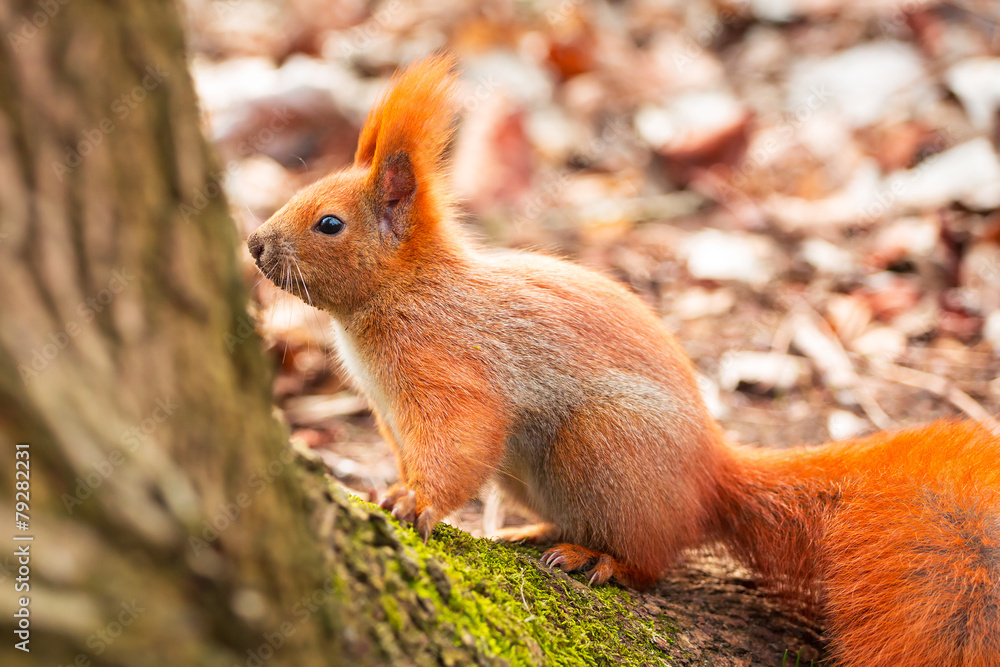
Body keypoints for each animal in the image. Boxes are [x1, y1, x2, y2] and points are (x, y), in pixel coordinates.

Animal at [244, 56, 1000, 667]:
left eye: (330, 223)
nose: (253, 244)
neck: (402, 294)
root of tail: (711, 474)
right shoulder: (390, 414)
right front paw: (398, 488)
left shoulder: (452, 369)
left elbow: (459, 444)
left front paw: (416, 501)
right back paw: (539, 530)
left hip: (603, 444)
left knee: (650, 562)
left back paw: (596, 558)